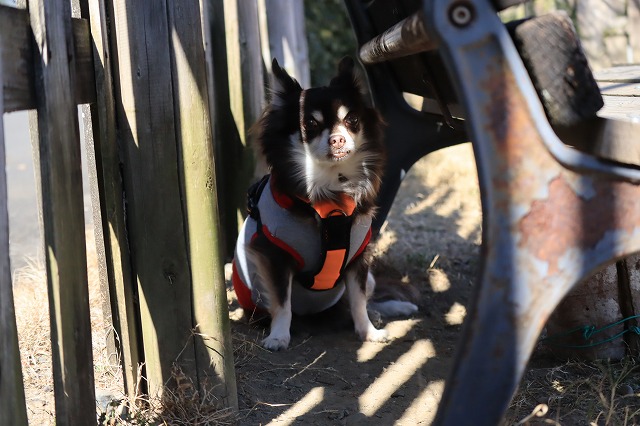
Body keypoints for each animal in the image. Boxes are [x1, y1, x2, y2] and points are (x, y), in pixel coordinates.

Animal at [232, 57, 417, 351]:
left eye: (352, 120)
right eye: (310, 123)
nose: (338, 139)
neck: (330, 192)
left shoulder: (358, 259)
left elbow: (358, 300)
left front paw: (368, 332)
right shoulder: (274, 257)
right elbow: (282, 304)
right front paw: (279, 336)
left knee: (359, 302)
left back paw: (387, 311)